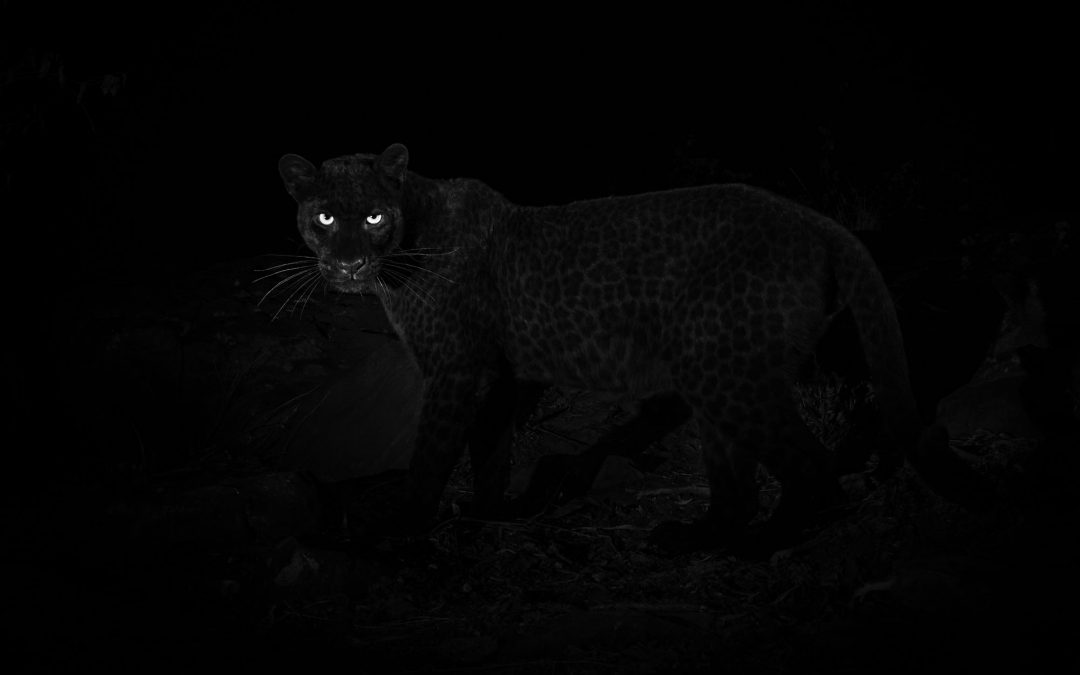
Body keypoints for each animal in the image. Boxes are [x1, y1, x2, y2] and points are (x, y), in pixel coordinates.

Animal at [277, 143, 989, 549]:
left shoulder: (455, 371)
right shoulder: (499, 377)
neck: (410, 239)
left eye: (373, 216)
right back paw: (695, 538)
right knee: (738, 481)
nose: (345, 263)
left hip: (729, 374)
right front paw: (487, 517)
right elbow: (492, 451)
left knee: (811, 467)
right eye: (324, 217)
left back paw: (763, 542)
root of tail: (818, 222)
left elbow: (432, 453)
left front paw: (404, 526)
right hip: (715, 374)